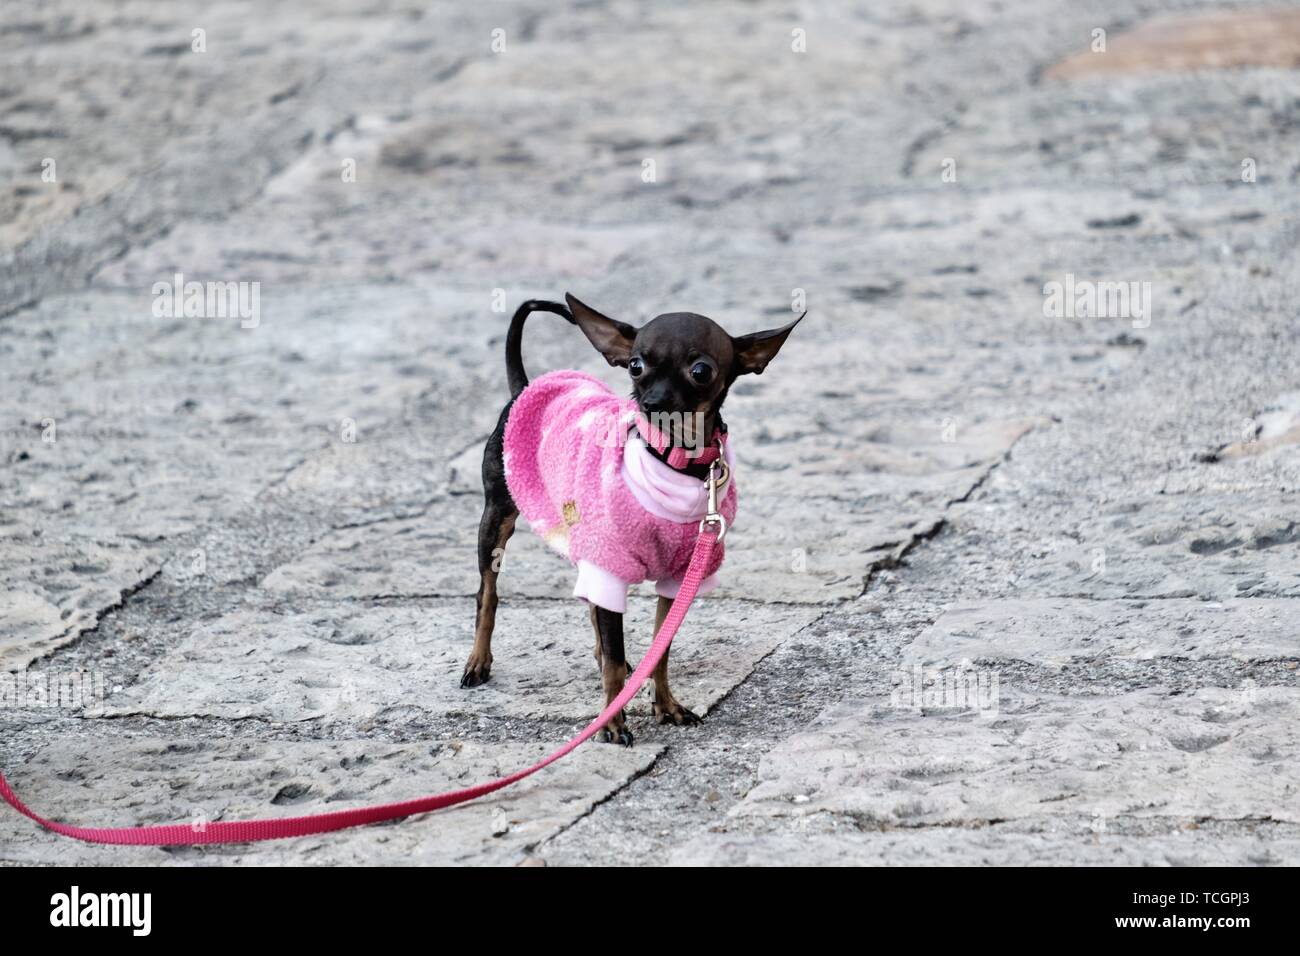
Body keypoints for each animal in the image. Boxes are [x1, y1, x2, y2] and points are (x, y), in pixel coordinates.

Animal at [462, 293, 795, 749]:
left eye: (700, 371)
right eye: (635, 366)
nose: (651, 403)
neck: (674, 461)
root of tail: (524, 387)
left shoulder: (676, 578)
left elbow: (660, 648)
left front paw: (665, 705)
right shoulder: (611, 565)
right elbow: (617, 662)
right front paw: (612, 723)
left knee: (592, 608)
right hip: (497, 518)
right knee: (488, 593)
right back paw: (478, 661)